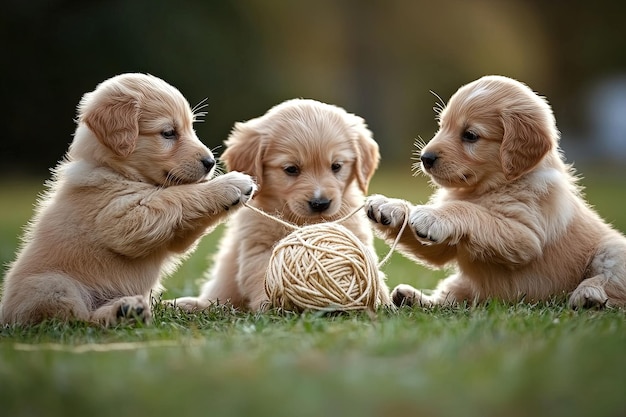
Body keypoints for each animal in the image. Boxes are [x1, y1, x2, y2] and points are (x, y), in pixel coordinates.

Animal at [0, 72, 255, 324]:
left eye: (190, 128)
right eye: (168, 133)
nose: (210, 163)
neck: (117, 171)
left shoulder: (173, 235)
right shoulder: (121, 218)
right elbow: (177, 196)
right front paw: (230, 184)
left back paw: (150, 308)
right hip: (53, 285)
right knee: (78, 318)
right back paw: (123, 312)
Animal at [174, 98, 390, 308]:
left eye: (336, 166)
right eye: (291, 169)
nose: (320, 203)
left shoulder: (356, 235)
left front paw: (379, 298)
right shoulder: (257, 245)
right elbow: (264, 272)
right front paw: (271, 302)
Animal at [364, 75, 624, 308]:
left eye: (470, 135)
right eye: (442, 126)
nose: (425, 158)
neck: (494, 185)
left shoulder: (526, 234)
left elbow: (472, 212)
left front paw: (432, 214)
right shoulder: (445, 245)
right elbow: (436, 245)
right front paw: (389, 206)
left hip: (611, 252)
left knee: (611, 285)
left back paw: (589, 297)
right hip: (463, 284)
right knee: (453, 300)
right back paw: (412, 298)